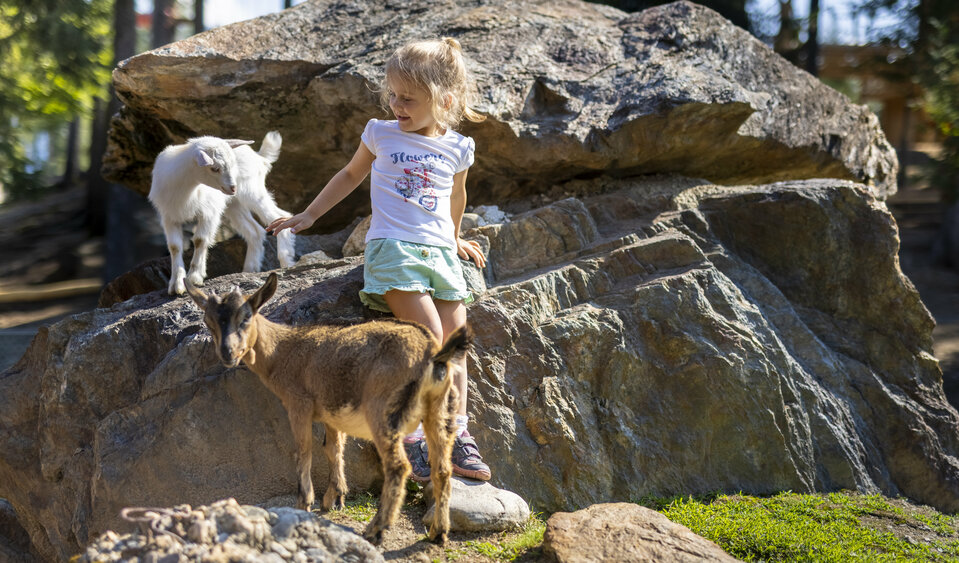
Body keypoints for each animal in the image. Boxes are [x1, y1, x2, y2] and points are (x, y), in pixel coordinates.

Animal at [148, 132, 295, 295]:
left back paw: (286, 260)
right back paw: (249, 270)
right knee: (255, 231)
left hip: (252, 191)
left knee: (280, 216)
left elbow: (200, 240)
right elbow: (175, 247)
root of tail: (259, 156)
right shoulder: (169, 216)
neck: (187, 188)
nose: (233, 187)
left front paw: (194, 277)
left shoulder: (209, 211)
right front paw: (177, 284)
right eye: (214, 168)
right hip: (234, 204)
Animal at [185, 273, 466, 545]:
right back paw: (438, 533)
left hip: (383, 412)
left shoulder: (298, 404)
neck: (282, 352)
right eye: (209, 322)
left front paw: (304, 504)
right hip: (438, 410)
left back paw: (375, 531)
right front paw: (335, 498)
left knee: (398, 467)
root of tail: (433, 354)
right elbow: (332, 449)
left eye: (245, 317)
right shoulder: (332, 414)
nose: (227, 353)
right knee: (442, 469)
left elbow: (303, 451)